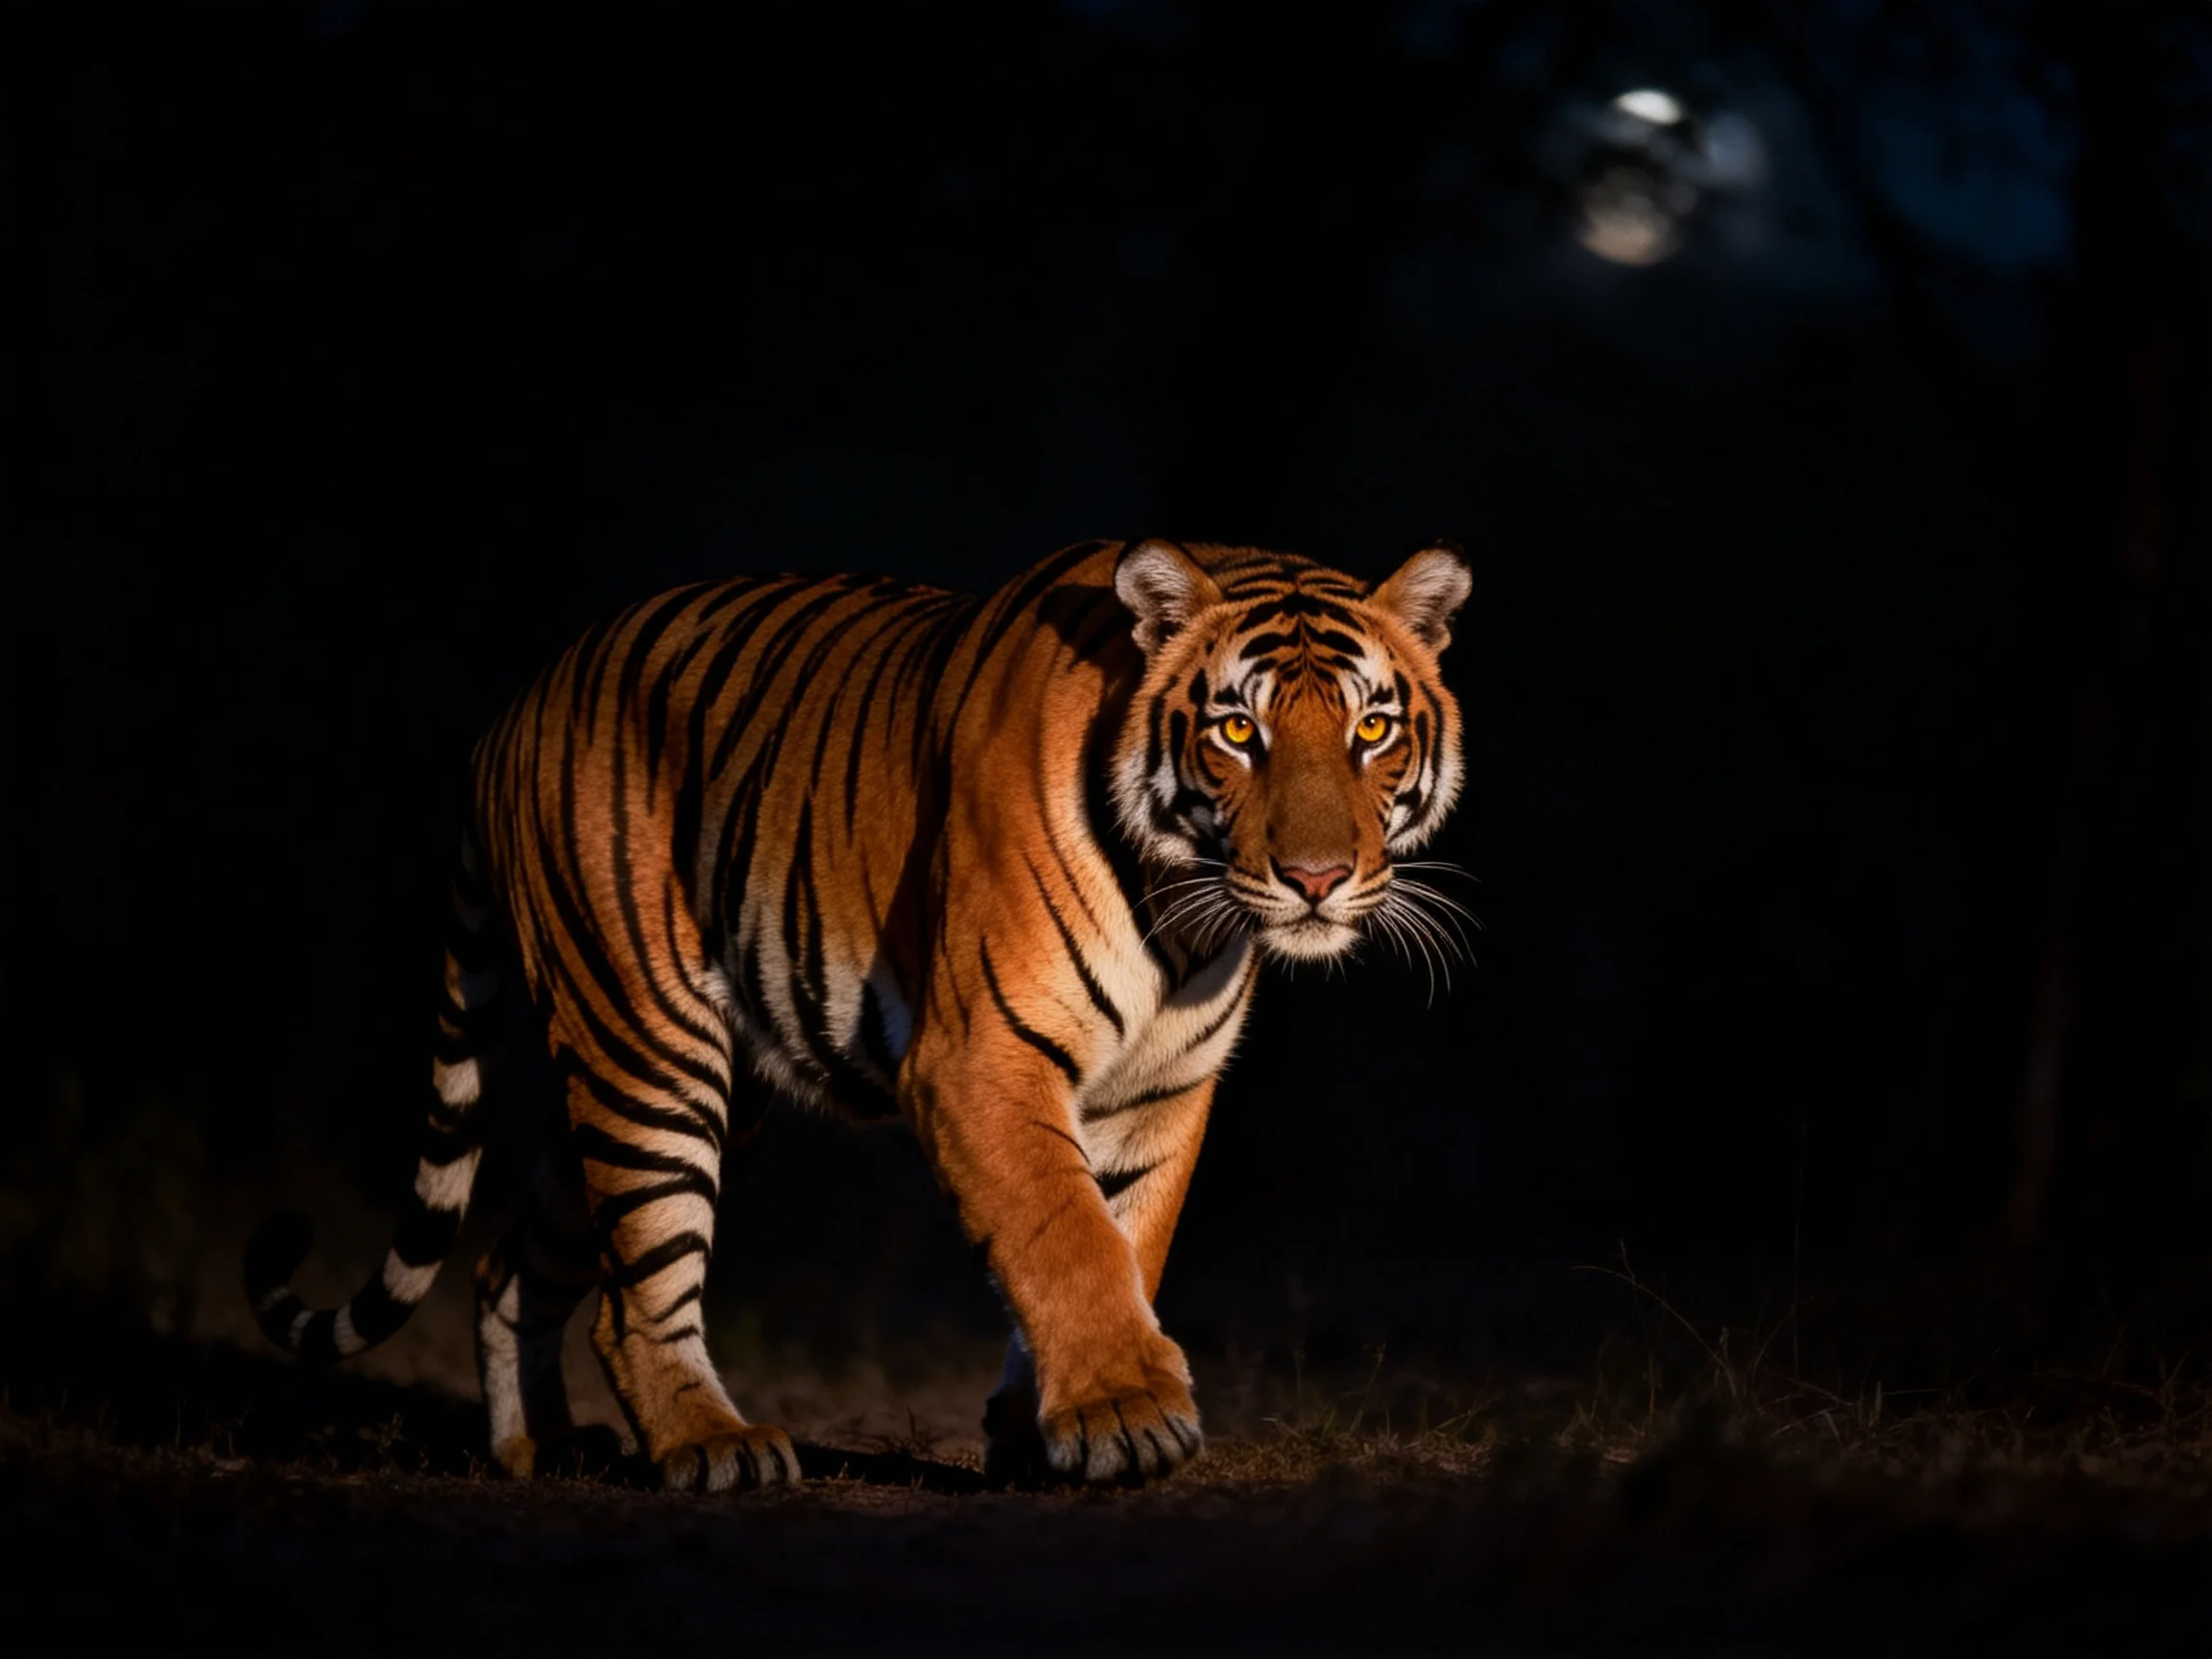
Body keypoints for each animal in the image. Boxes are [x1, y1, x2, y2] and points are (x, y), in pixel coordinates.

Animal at [245, 537, 1471, 1490]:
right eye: (1236, 734)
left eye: (1371, 732)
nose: (1315, 879)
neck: (1188, 908)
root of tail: (517, 701)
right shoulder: (980, 1056)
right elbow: (1067, 1234)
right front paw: (1124, 1416)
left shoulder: (1160, 1088)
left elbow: (1127, 1238)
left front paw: (1046, 1430)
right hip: (651, 1048)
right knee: (635, 1289)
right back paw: (712, 1447)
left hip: (657, 1081)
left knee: (513, 1264)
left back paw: (540, 1449)